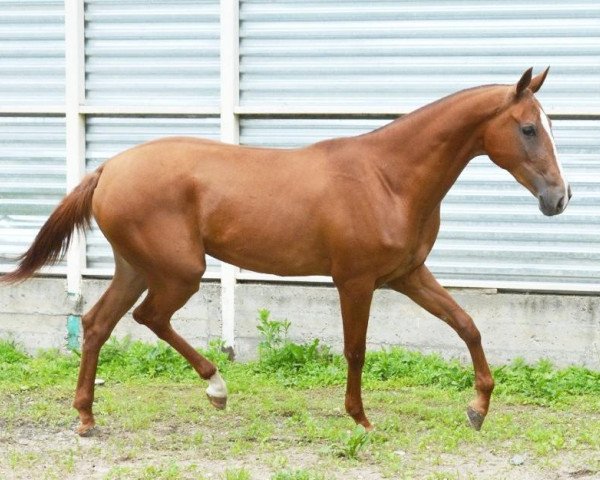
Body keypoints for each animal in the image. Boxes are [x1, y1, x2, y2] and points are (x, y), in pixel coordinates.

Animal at [2, 67, 568, 436]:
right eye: (527, 128)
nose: (559, 198)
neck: (388, 178)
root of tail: (107, 169)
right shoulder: (355, 281)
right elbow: (357, 349)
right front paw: (361, 418)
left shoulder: (408, 275)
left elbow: (467, 324)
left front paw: (478, 408)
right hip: (180, 271)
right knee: (148, 318)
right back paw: (216, 388)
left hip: (136, 268)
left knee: (98, 323)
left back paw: (86, 417)